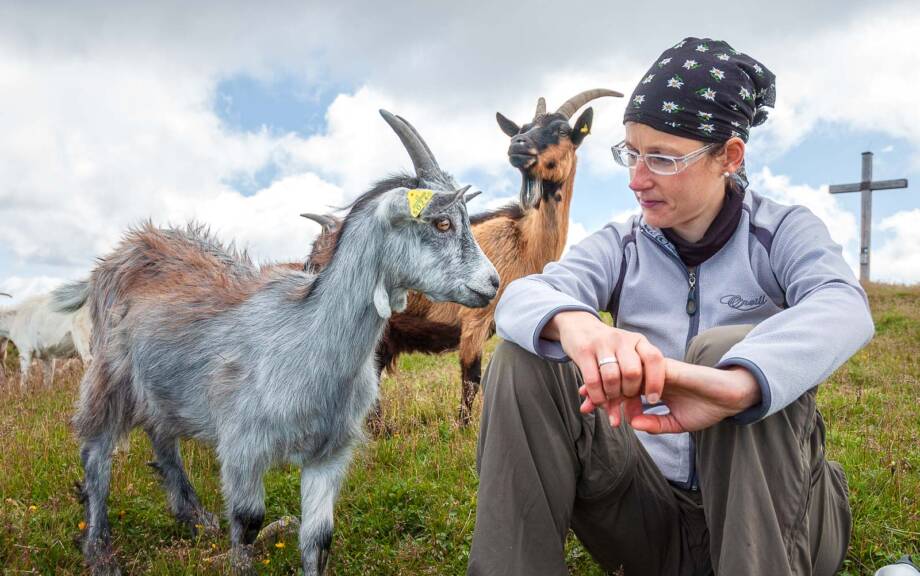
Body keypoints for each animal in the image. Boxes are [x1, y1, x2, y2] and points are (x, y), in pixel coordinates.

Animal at [61, 146, 498, 574]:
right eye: (442, 223)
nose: (493, 282)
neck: (306, 337)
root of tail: (126, 247)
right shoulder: (242, 445)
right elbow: (248, 524)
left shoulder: (329, 452)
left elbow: (319, 539)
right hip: (108, 374)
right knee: (96, 452)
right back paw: (100, 551)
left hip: (162, 385)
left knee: (161, 434)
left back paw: (196, 517)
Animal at [305, 91, 621, 425]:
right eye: (521, 128)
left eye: (562, 130)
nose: (518, 144)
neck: (523, 241)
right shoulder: (475, 321)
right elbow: (471, 379)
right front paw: (463, 427)